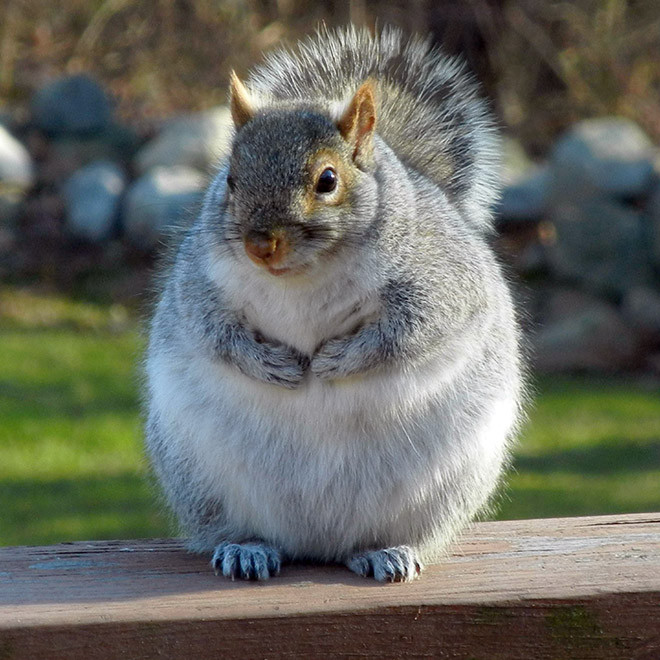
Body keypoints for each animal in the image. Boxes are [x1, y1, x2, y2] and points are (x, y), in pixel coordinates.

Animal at [144, 25, 520, 584]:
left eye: (327, 180)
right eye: (230, 180)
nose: (260, 244)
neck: (303, 279)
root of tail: (315, 544)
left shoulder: (442, 282)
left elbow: (413, 330)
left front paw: (337, 360)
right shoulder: (198, 286)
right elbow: (214, 333)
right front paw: (270, 364)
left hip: (442, 488)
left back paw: (383, 551)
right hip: (199, 479)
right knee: (240, 528)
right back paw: (246, 549)